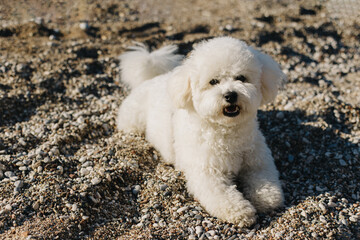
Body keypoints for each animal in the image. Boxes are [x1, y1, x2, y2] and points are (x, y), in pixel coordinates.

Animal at [116, 37, 286, 227]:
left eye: (241, 78)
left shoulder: (258, 161)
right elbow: (223, 196)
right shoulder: (207, 173)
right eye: (213, 81)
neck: (227, 133)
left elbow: (263, 179)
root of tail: (151, 79)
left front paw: (266, 197)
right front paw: (240, 211)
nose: (230, 95)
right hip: (132, 119)